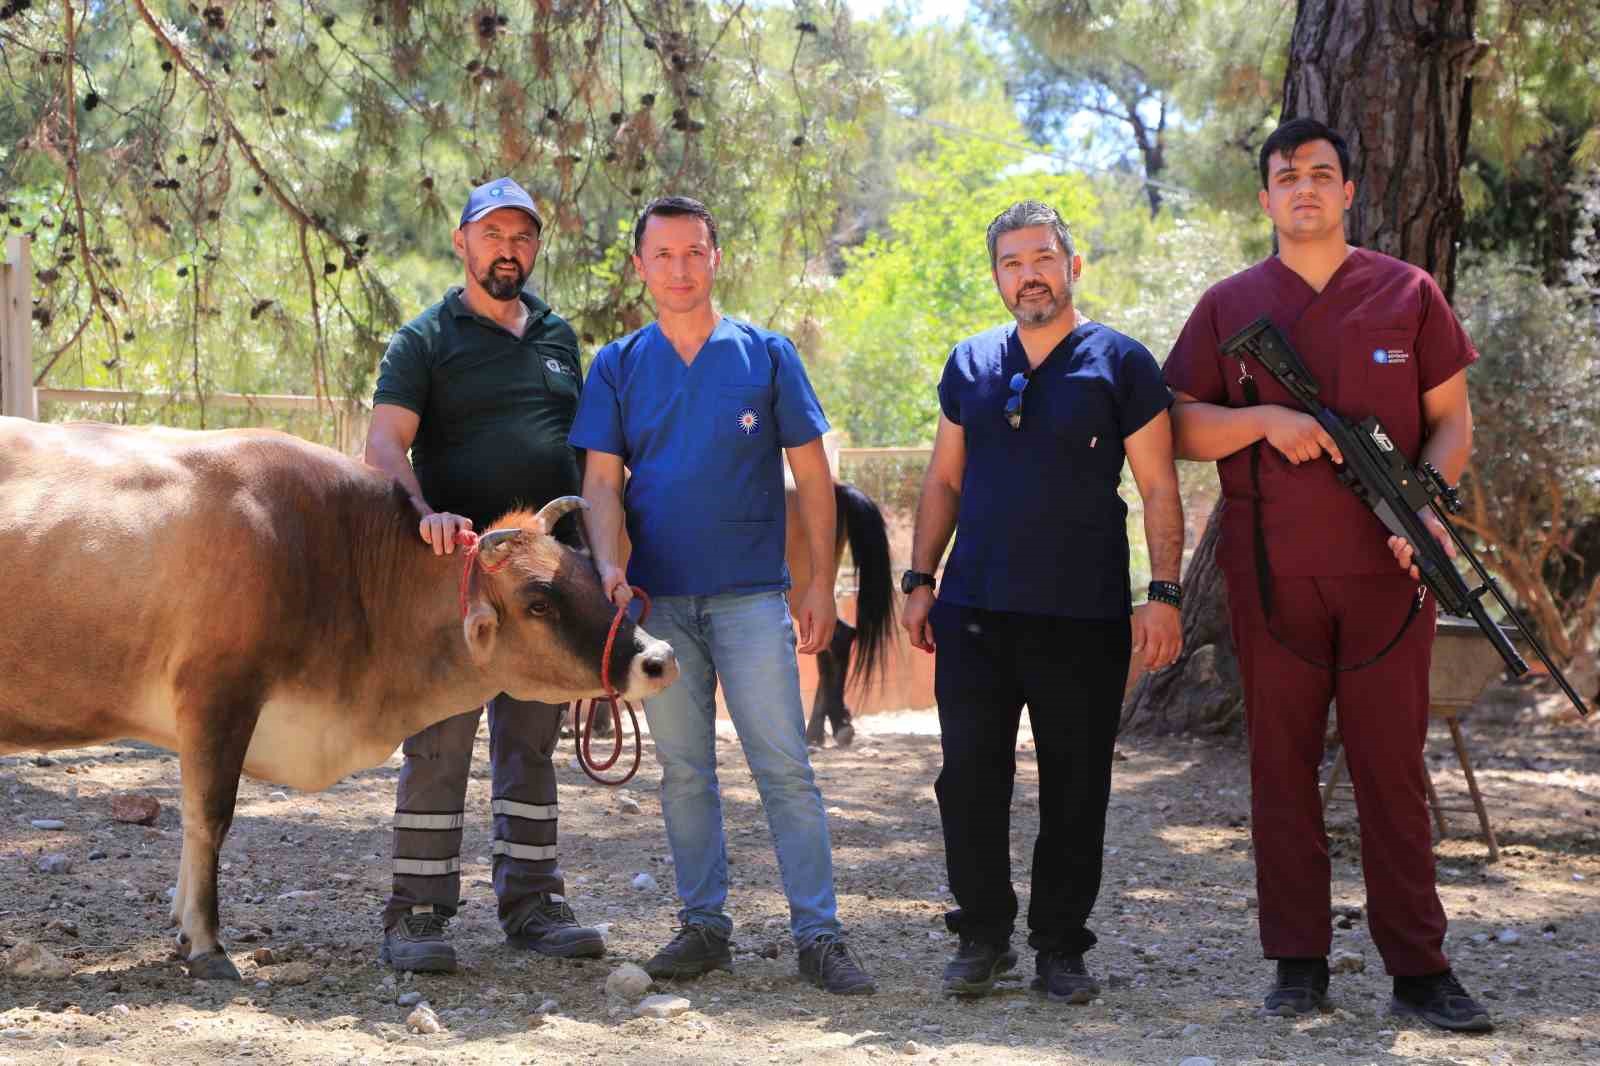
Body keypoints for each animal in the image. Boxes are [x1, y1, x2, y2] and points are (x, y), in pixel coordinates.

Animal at [0, 409, 675, 973]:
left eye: (588, 571)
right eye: (538, 601)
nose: (658, 658)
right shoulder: (217, 693)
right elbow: (207, 817)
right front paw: (207, 944)